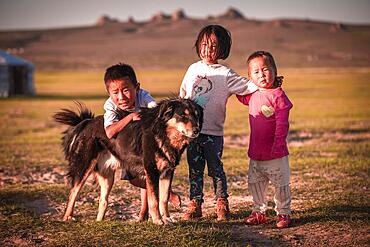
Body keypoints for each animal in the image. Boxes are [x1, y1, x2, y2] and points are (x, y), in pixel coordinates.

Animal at [52, 97, 202, 225]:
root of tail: (87, 122)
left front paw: (167, 219)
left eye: (196, 116)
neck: (163, 133)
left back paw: (99, 221)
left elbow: (163, 198)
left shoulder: (167, 171)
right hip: (84, 166)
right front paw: (158, 220)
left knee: (103, 200)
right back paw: (68, 216)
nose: (197, 131)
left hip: (108, 176)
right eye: (183, 115)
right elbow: (154, 199)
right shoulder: (151, 170)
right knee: (73, 192)